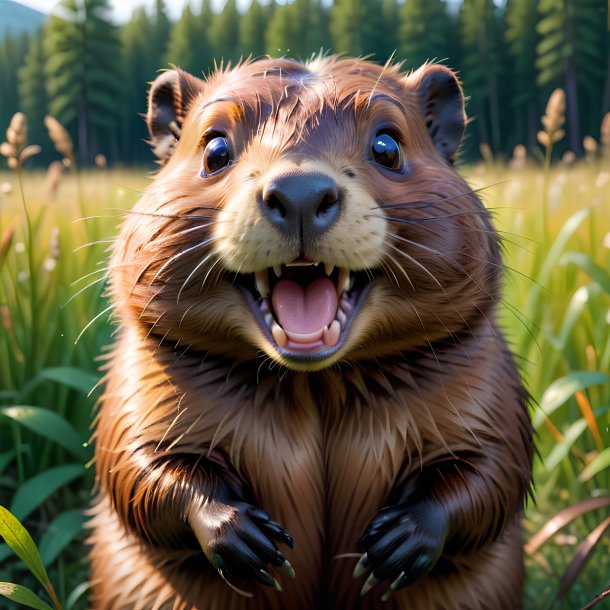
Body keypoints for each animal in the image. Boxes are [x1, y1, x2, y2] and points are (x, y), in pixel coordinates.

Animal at [89, 54, 532, 604]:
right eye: (214, 149)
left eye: (387, 146)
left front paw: (392, 546)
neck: (315, 383)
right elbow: (136, 464)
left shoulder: (487, 386)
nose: (299, 193)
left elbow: (494, 468)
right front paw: (252, 542)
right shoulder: (141, 386)